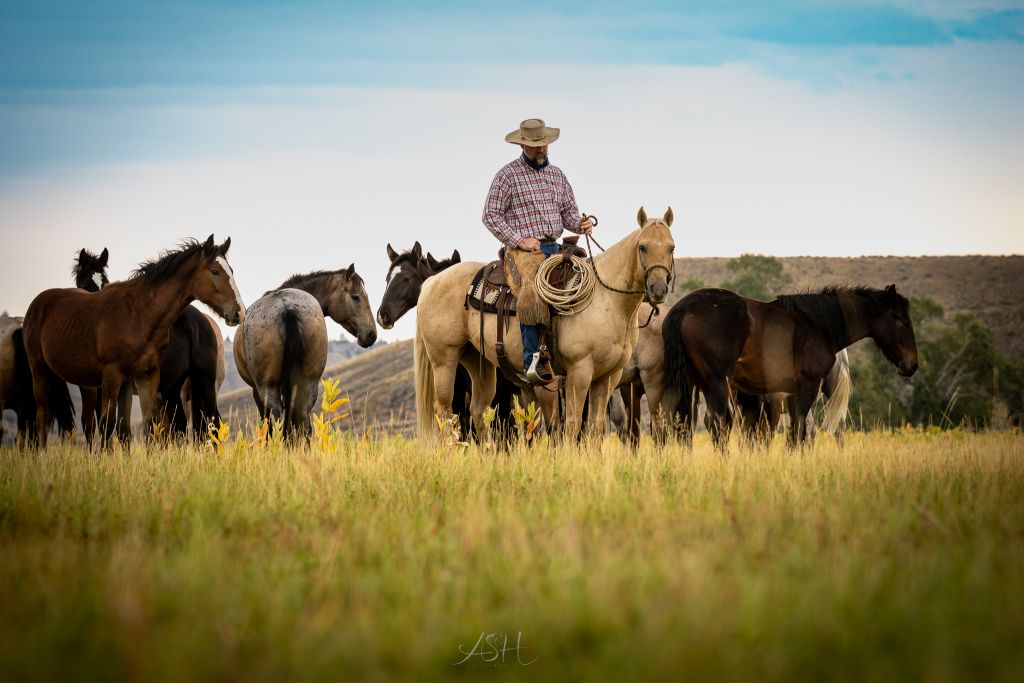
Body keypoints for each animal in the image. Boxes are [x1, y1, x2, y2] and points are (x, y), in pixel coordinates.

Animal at [22, 236, 245, 448]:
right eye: (215, 271)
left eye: (231, 271)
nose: (239, 312)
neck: (138, 314)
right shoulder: (111, 379)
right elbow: (111, 425)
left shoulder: (139, 377)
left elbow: (134, 426)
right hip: (40, 369)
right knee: (43, 415)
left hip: (195, 384)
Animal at [234, 262, 378, 438]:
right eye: (355, 296)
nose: (371, 334)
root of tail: (286, 308)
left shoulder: (257, 391)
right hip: (308, 382)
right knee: (302, 420)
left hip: (268, 387)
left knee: (276, 422)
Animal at [411, 206, 675, 438]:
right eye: (642, 247)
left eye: (671, 247)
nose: (658, 288)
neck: (604, 299)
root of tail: (432, 282)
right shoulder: (579, 371)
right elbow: (571, 424)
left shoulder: (609, 376)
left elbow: (594, 426)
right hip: (444, 359)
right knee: (444, 412)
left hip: (477, 360)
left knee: (478, 411)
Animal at [663, 284, 921, 448]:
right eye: (901, 320)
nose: (912, 364)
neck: (818, 325)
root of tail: (683, 308)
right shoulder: (808, 386)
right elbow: (798, 432)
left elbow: (797, 432)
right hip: (716, 383)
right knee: (718, 423)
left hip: (693, 385)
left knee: (685, 424)